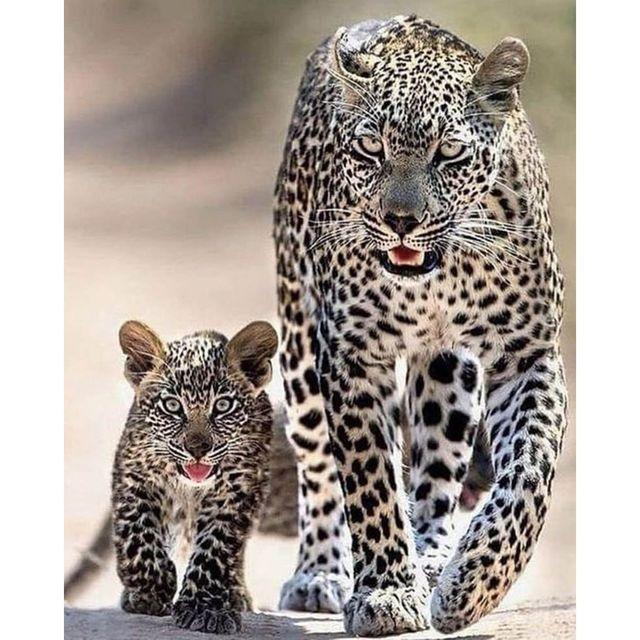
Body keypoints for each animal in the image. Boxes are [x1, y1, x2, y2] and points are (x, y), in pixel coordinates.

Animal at [112, 319, 278, 634]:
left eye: (223, 406)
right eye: (172, 406)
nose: (198, 449)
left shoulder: (234, 493)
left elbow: (215, 549)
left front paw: (204, 609)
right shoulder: (133, 477)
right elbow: (137, 532)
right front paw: (153, 588)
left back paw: (235, 594)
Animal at [274, 15, 567, 636]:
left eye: (449, 153)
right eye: (371, 147)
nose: (401, 221)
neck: (438, 275)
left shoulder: (528, 357)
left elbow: (530, 475)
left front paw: (473, 585)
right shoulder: (353, 357)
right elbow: (369, 480)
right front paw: (385, 592)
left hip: (449, 371)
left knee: (436, 468)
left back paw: (433, 558)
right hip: (299, 346)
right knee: (317, 464)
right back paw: (321, 573)